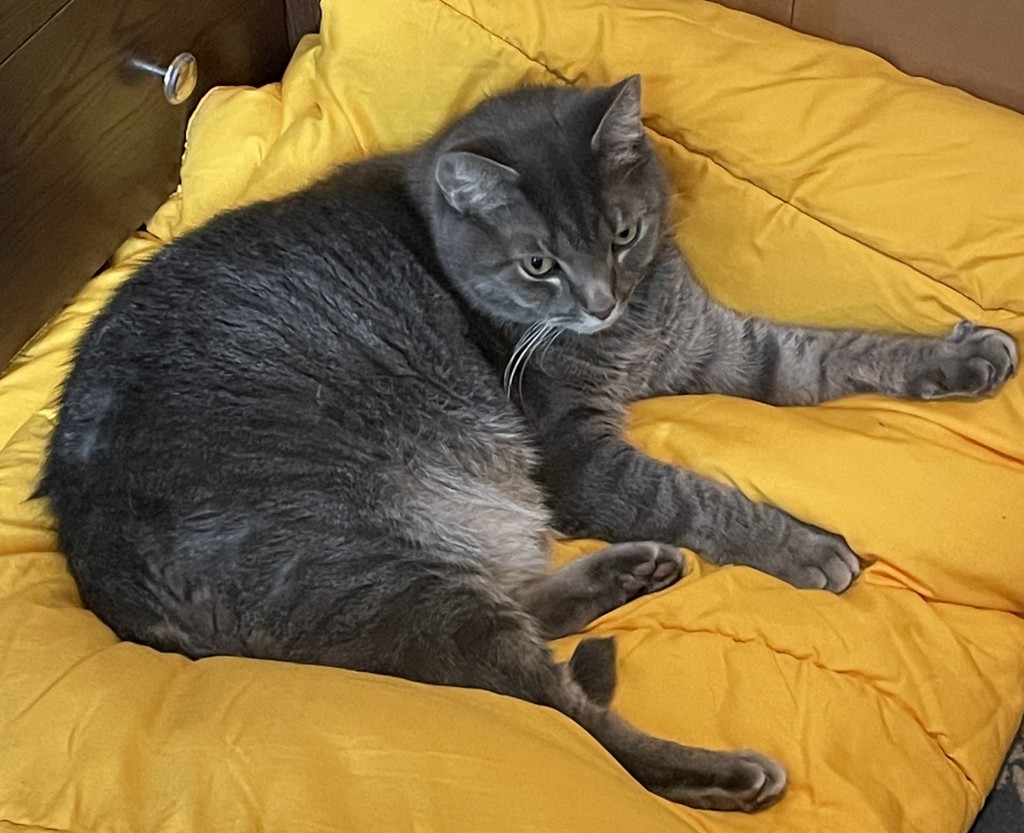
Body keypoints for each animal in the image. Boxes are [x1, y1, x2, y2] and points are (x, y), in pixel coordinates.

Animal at [37, 77, 1015, 811]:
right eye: (538, 264)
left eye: (622, 235)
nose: (600, 302)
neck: (631, 332)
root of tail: (103, 580)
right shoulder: (581, 457)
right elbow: (703, 497)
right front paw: (806, 547)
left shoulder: (725, 346)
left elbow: (840, 351)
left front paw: (963, 357)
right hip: (379, 569)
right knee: (567, 714)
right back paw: (724, 774)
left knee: (530, 627)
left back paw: (631, 571)